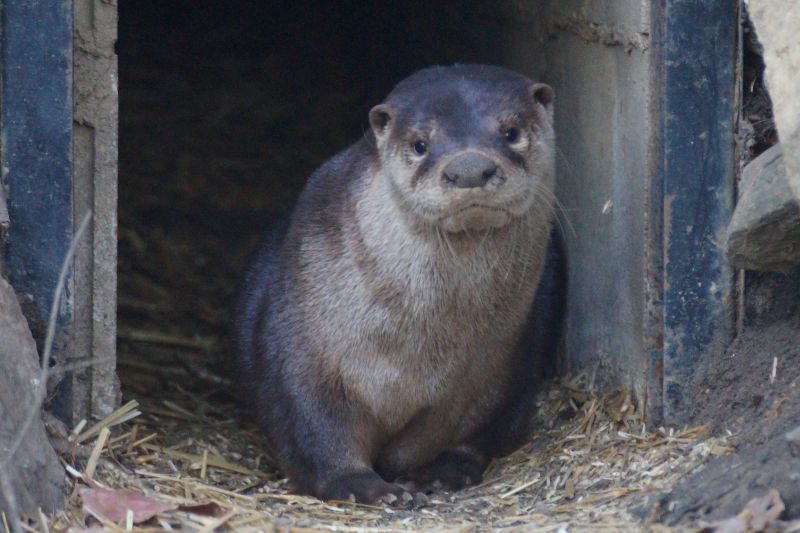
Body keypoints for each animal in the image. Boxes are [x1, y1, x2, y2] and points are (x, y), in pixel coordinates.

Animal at [234, 64, 565, 505]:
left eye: (511, 132)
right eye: (421, 144)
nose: (470, 169)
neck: (416, 353)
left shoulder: (503, 368)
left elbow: (481, 428)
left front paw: (439, 473)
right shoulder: (300, 349)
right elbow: (314, 429)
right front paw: (366, 486)